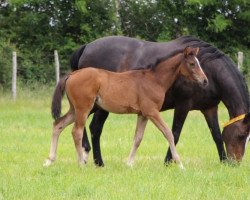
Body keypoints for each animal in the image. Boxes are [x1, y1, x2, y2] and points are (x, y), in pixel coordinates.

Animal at [44, 47, 208, 169]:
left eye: (198, 63)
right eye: (192, 64)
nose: (205, 81)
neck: (154, 80)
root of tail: (72, 74)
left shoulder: (143, 114)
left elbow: (138, 138)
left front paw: (129, 163)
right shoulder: (152, 112)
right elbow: (168, 133)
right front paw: (180, 164)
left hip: (75, 110)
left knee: (58, 124)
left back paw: (49, 160)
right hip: (83, 109)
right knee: (76, 132)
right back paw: (81, 163)